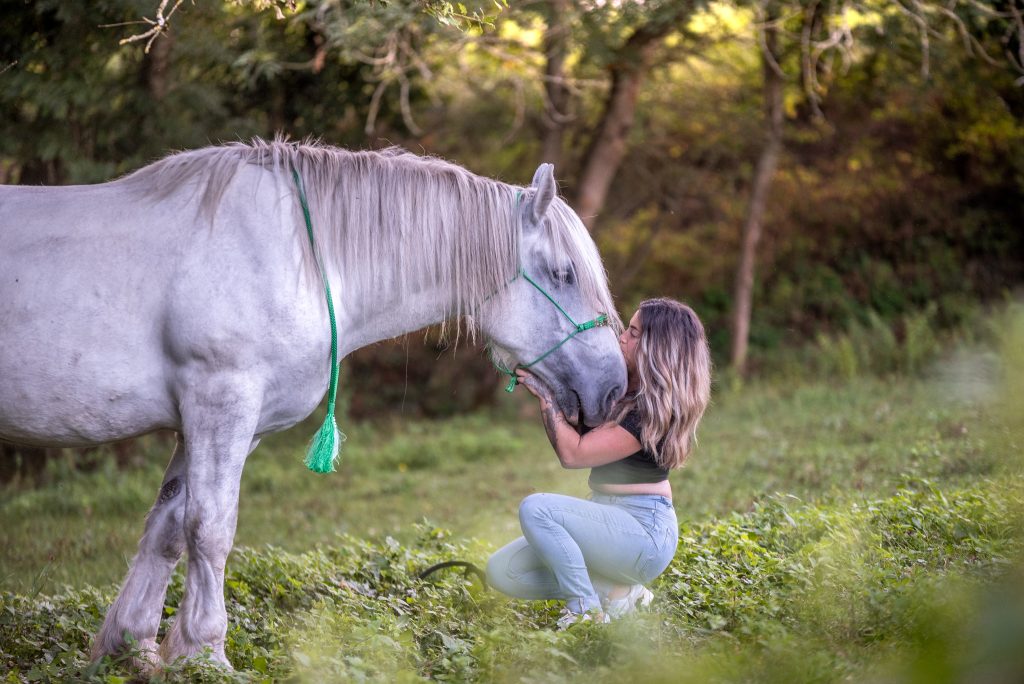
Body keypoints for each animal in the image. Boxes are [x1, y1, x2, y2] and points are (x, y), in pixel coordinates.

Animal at [0, 140, 626, 667]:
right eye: (563, 274)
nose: (616, 388)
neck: (297, 257)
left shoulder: (214, 424)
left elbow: (169, 528)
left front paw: (132, 648)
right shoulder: (220, 403)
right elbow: (210, 527)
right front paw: (206, 652)